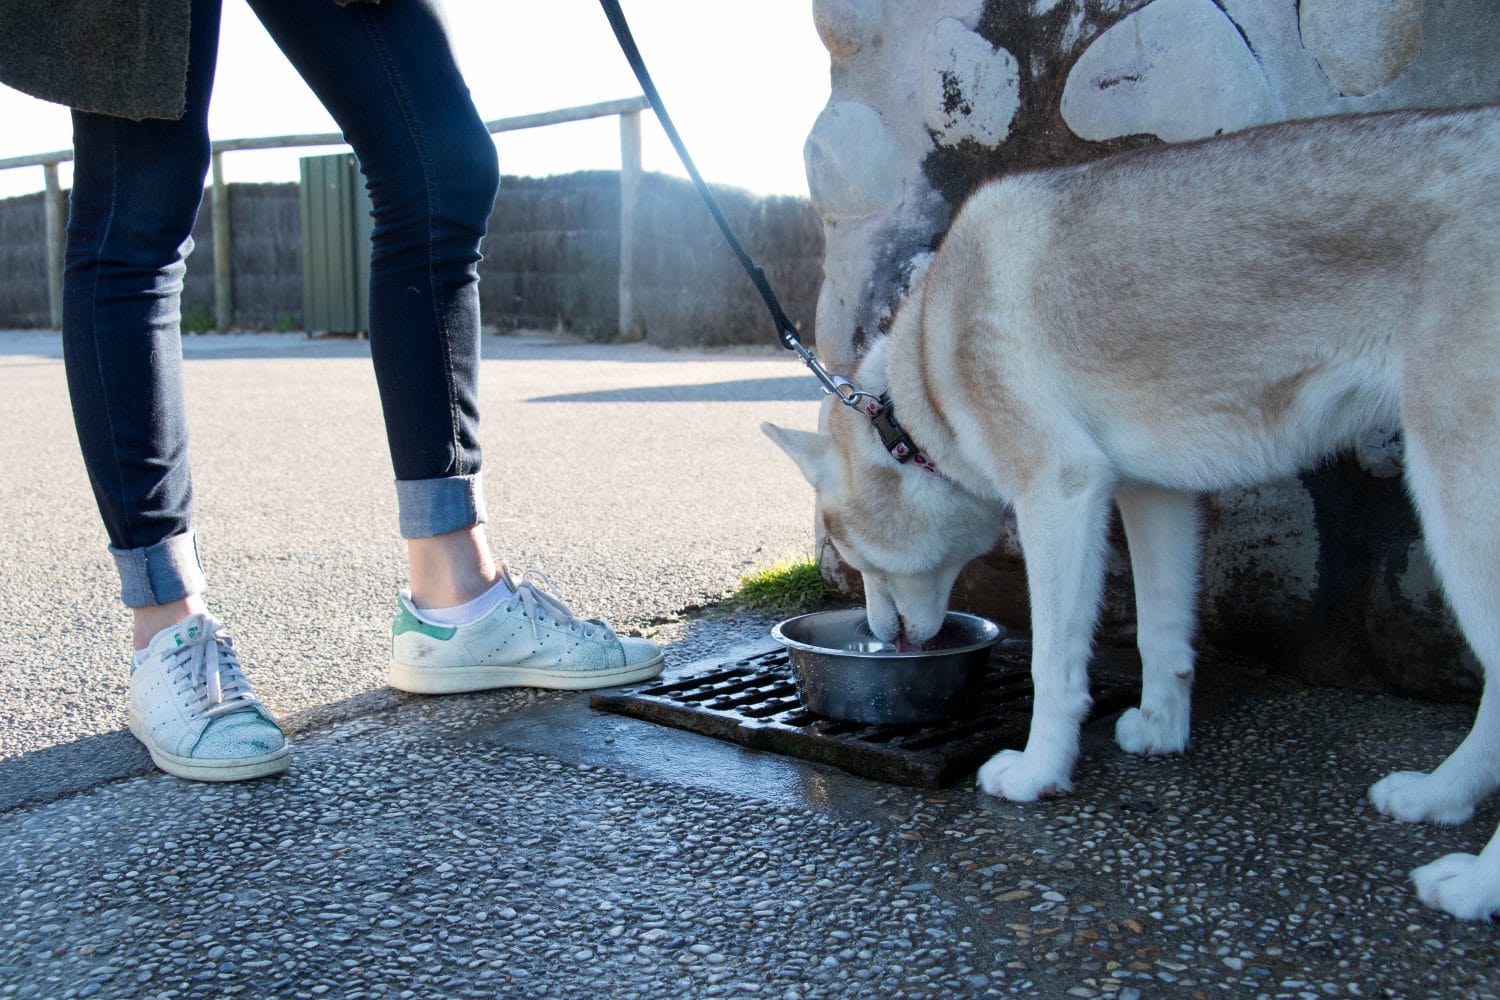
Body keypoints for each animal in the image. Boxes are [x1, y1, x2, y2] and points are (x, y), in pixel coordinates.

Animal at [768, 105, 1500, 917]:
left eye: (858, 559)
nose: (878, 636)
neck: (922, 388)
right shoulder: (1156, 496)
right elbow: (1161, 636)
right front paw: (1161, 730)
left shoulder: (1060, 493)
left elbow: (1055, 666)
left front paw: (1039, 772)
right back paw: (1440, 797)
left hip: (1459, 501)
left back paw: (1477, 885)